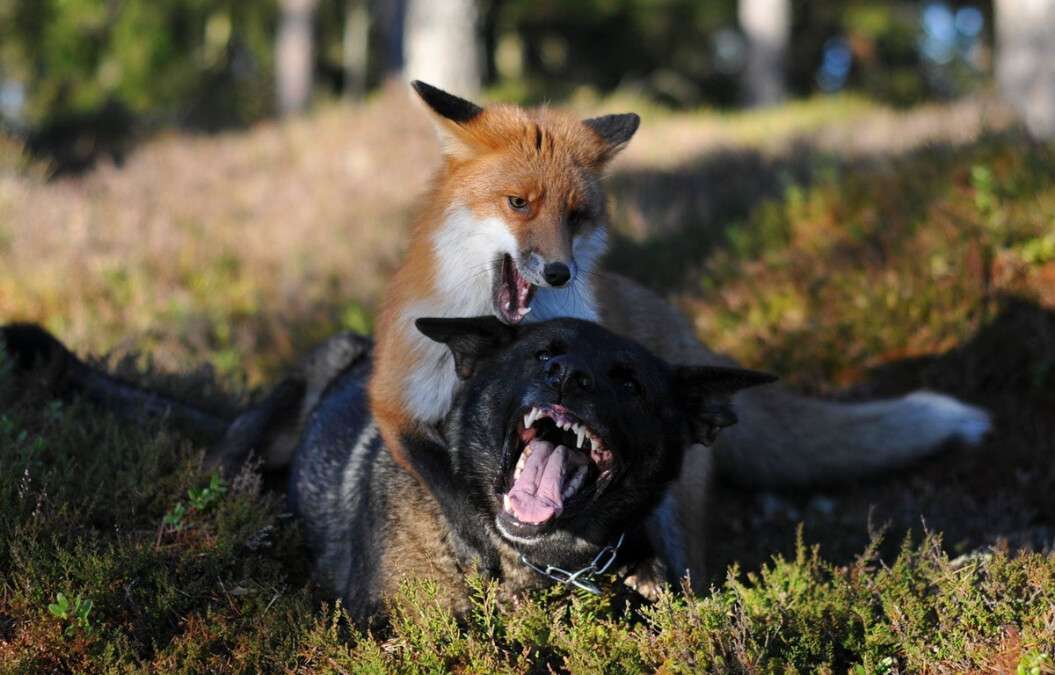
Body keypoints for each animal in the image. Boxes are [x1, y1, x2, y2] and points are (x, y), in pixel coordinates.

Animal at [369, 83, 987, 582]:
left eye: (576, 217)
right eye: (518, 203)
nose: (560, 272)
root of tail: (683, 331)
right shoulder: (396, 399)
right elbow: (452, 490)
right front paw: (487, 547)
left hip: (677, 510)